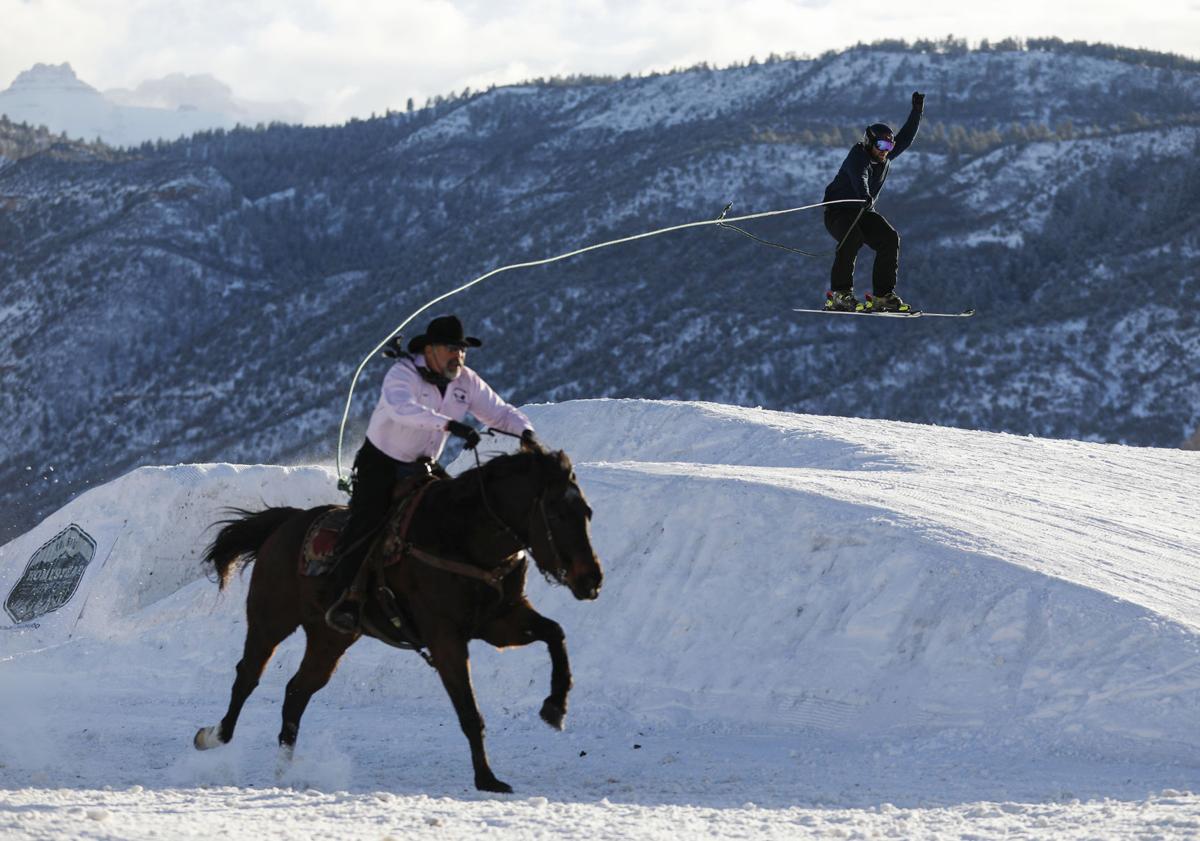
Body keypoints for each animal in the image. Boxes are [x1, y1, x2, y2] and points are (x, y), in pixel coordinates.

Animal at [192, 444, 603, 793]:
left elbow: (555, 633)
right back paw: (214, 737)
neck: (459, 536)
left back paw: (284, 770)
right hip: (270, 620)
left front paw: (555, 707)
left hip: (330, 638)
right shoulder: (445, 639)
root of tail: (286, 523)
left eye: (586, 512)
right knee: (247, 676)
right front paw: (487, 779)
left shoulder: (500, 622)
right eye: (557, 513)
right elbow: (469, 712)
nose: (592, 580)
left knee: (297, 691)